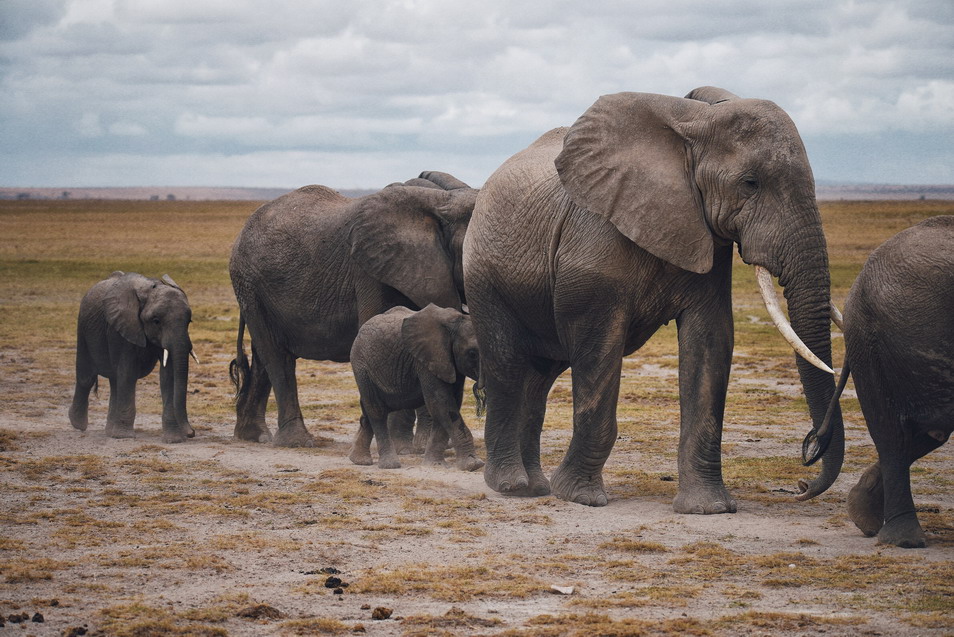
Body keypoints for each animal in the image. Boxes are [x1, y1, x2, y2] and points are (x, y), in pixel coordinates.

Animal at [70, 272, 199, 442]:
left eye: (189, 321)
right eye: (156, 321)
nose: (191, 433)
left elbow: (168, 376)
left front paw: (174, 439)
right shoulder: (121, 328)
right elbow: (128, 372)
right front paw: (124, 436)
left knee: (115, 381)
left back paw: (109, 431)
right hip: (82, 327)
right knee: (87, 377)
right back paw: (79, 425)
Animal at [227, 171, 472, 444]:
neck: (440, 202)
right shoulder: (370, 272)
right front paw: (401, 445)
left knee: (263, 358)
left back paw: (253, 436)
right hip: (249, 283)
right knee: (277, 357)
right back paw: (297, 441)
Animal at [348, 304, 484, 472]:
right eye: (472, 353)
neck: (454, 323)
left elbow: (448, 405)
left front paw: (435, 465)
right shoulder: (427, 360)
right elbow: (441, 403)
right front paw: (473, 465)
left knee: (370, 410)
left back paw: (359, 460)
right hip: (361, 365)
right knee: (376, 410)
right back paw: (390, 465)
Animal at [464, 85, 844, 512]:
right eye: (750, 183)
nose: (806, 465)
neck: (694, 121)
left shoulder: (705, 236)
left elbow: (711, 341)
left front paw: (707, 508)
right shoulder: (595, 239)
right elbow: (598, 347)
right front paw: (582, 498)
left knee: (539, 378)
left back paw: (536, 486)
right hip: (484, 273)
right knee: (508, 368)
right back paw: (511, 485)